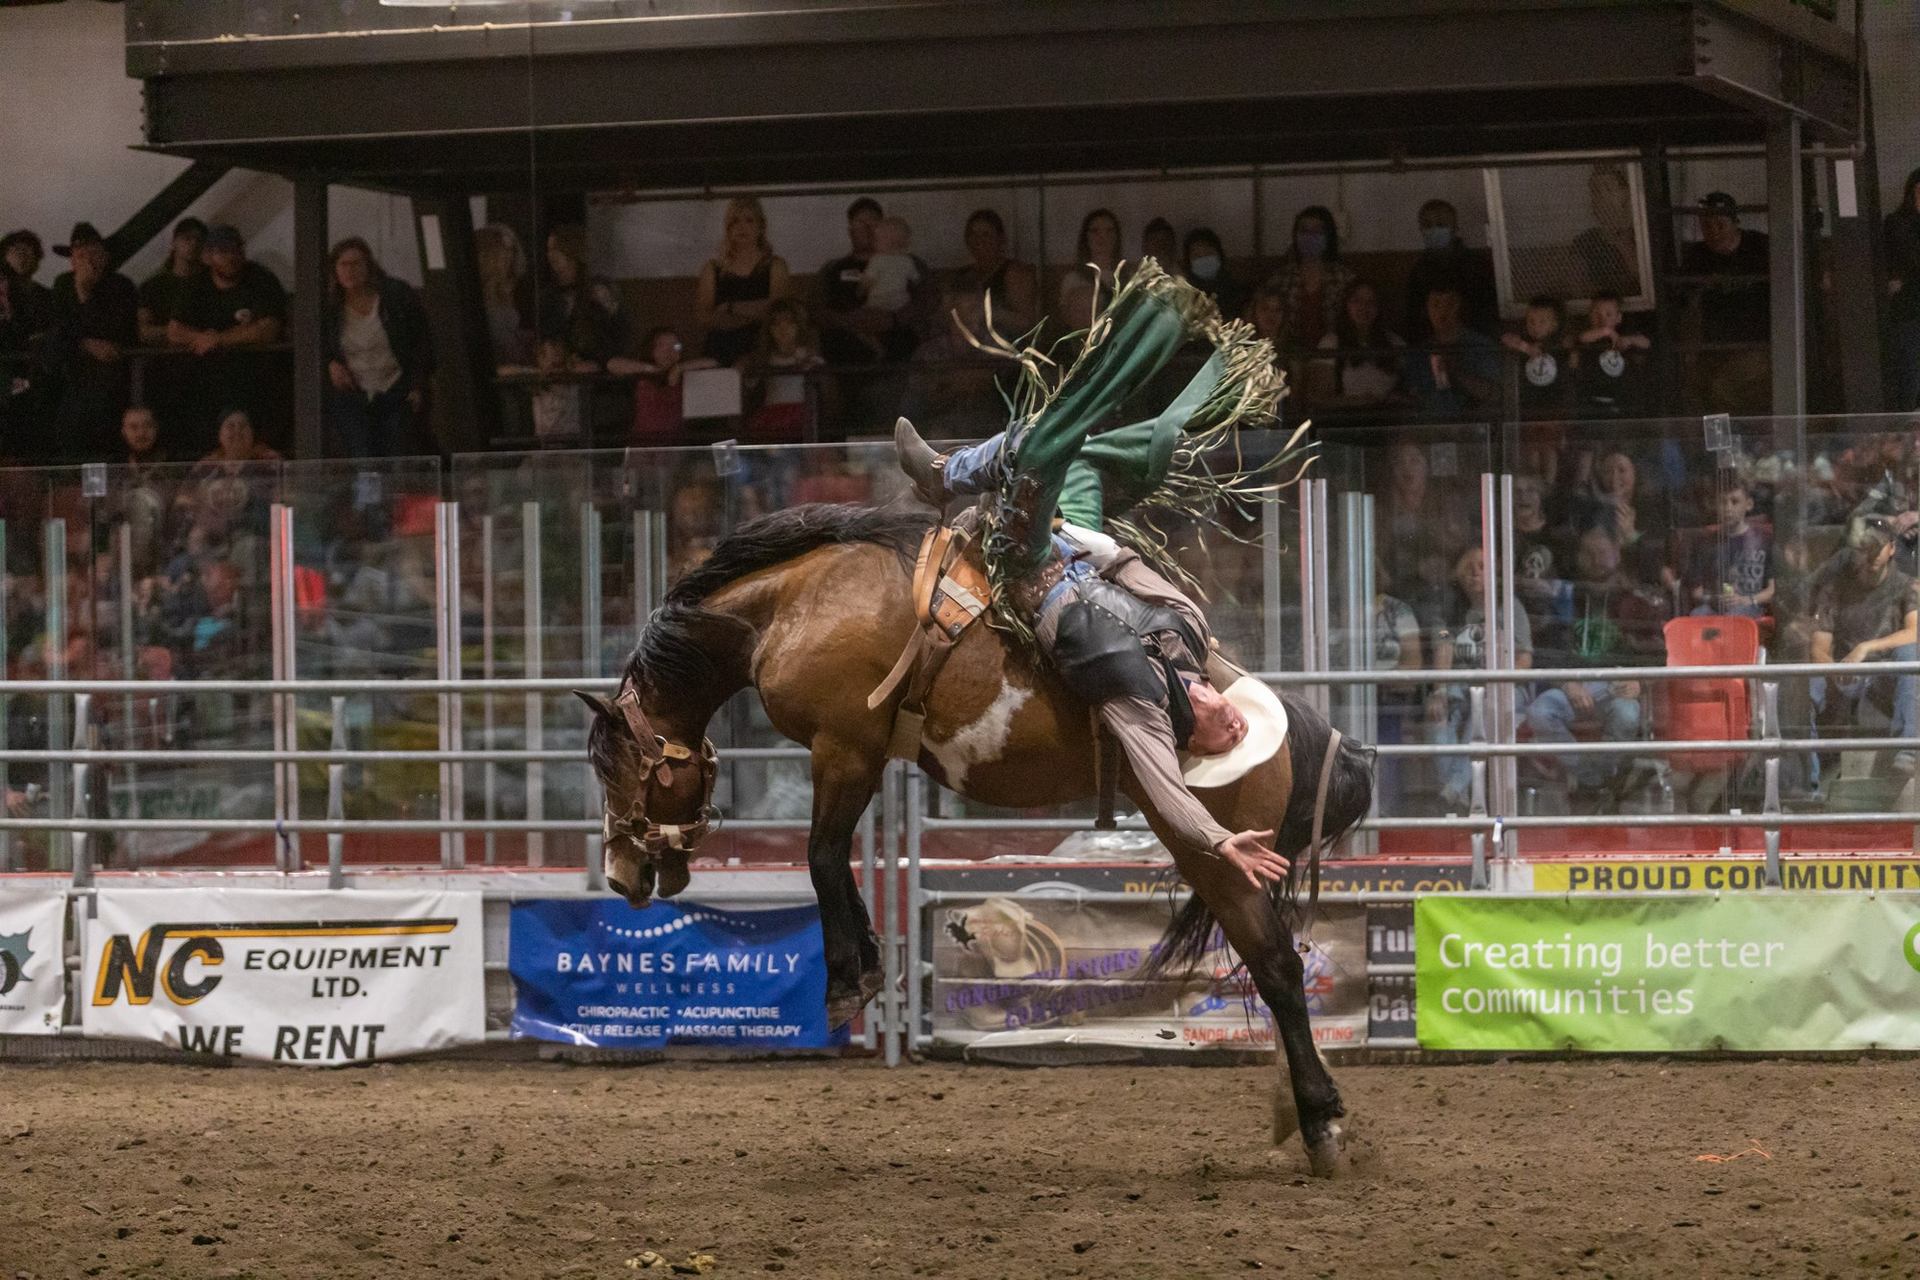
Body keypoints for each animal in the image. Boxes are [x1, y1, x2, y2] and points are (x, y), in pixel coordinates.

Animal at [577, 502, 1375, 1176]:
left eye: (613, 766)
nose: (619, 874)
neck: (793, 605)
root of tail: (1287, 728)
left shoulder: (845, 746)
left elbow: (823, 857)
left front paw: (848, 983)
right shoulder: (861, 754)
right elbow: (838, 862)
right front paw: (869, 963)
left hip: (1213, 850)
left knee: (1276, 965)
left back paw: (1322, 1124)